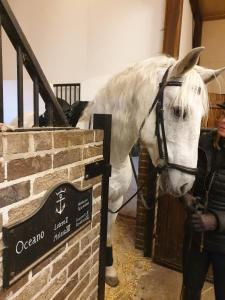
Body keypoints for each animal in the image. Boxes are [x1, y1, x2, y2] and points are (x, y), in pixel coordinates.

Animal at [78, 47, 225, 286]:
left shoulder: (115, 201)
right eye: (179, 111)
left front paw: (109, 270)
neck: (111, 156)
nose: (185, 185)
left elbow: (108, 236)